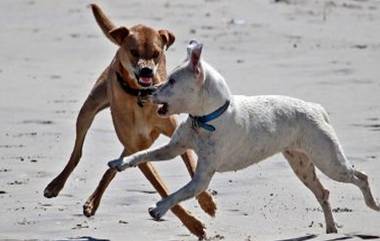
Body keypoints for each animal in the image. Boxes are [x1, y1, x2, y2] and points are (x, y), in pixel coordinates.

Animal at [42, 3, 215, 239]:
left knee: (114, 165)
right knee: (77, 152)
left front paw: (206, 202)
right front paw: (194, 225)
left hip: (140, 139)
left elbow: (192, 165)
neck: (140, 96)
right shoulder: (137, 148)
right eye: (134, 52)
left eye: (157, 54)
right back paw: (56, 185)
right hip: (90, 109)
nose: (146, 70)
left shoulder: (174, 135)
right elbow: (162, 189)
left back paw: (92, 202)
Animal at [107, 40, 380, 233]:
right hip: (302, 165)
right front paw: (121, 162)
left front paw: (159, 208)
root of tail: (316, 108)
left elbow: (178, 193)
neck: (205, 119)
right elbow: (143, 154)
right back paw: (331, 228)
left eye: (172, 81)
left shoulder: (201, 179)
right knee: (323, 193)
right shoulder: (174, 149)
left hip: (330, 162)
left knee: (361, 177)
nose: (145, 91)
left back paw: (372, 205)